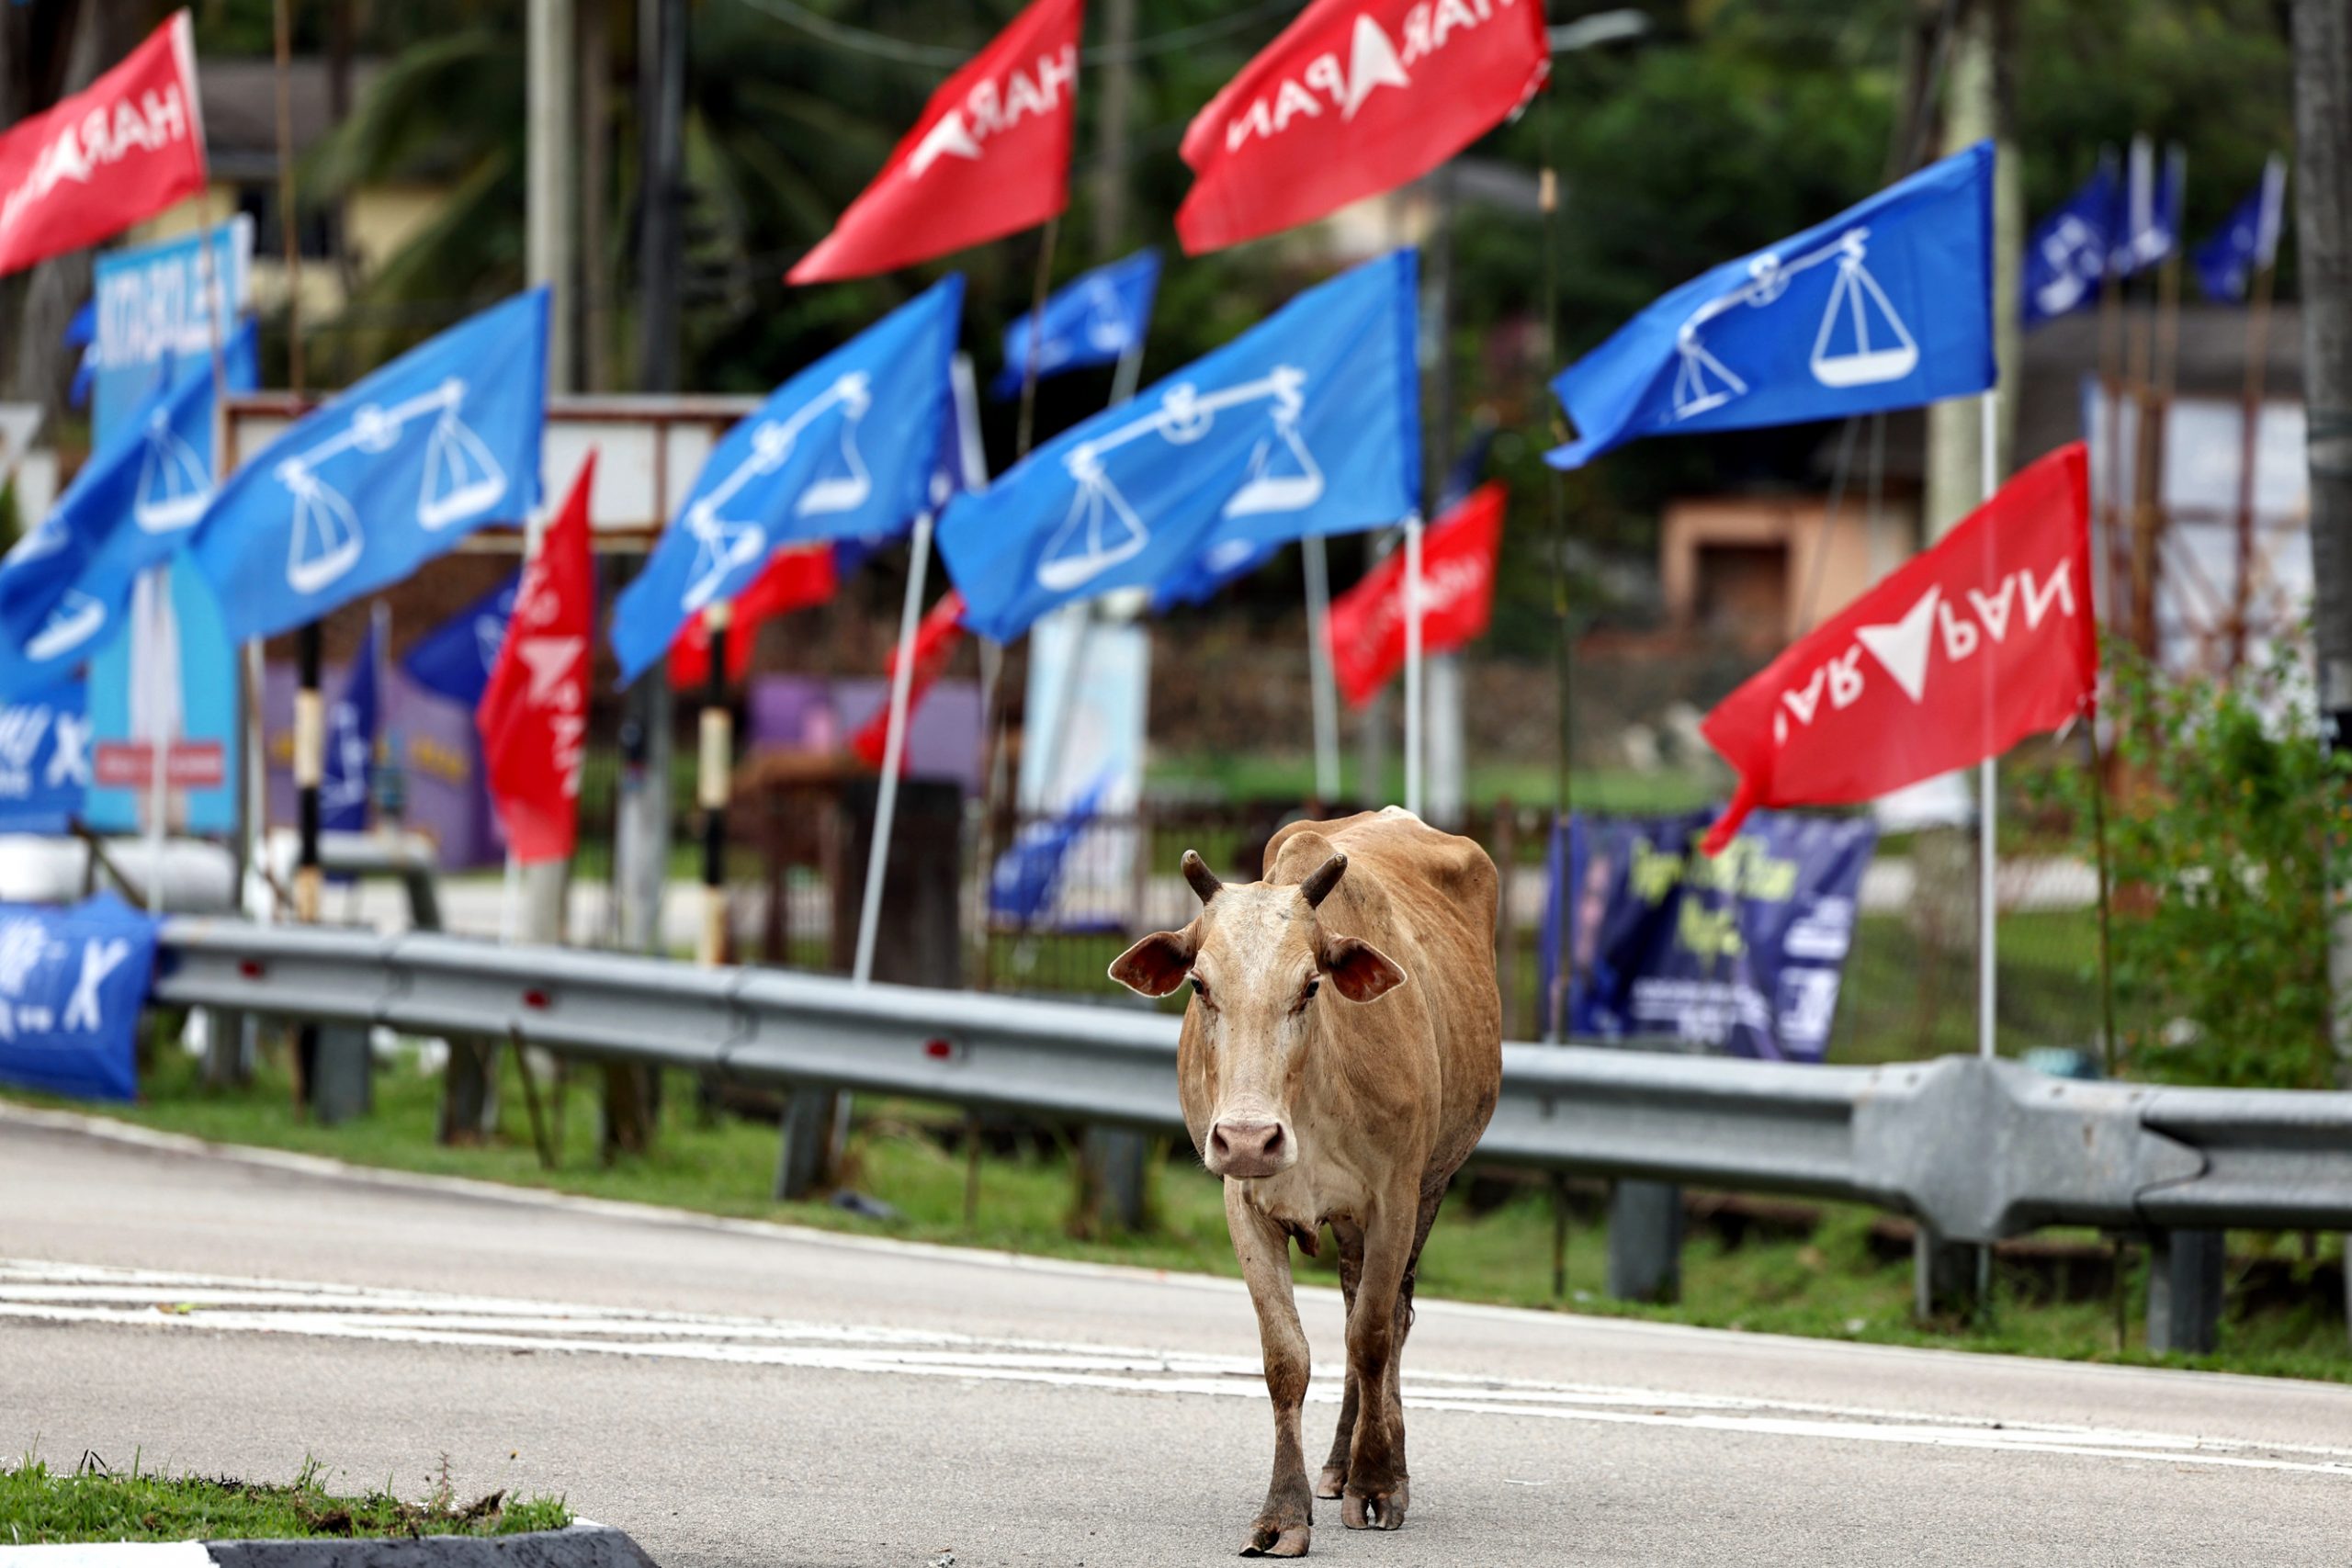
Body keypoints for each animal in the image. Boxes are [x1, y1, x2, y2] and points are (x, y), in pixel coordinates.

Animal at [1105, 808, 1505, 1561]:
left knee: (1387, 1322)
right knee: (1353, 1309)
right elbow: (1286, 1356)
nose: (1248, 1137)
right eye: (1199, 985)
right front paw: (1282, 1513)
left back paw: (1378, 1465)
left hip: (1432, 1187)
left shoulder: (1395, 1199)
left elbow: (1372, 1336)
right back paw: (1336, 1465)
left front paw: (1378, 1485)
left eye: (1311, 985)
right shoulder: (1244, 1203)